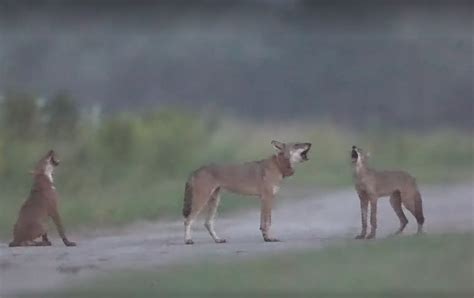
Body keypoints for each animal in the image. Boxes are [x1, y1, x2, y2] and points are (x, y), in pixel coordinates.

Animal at [181, 141, 312, 243]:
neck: (278, 166)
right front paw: (269, 238)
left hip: (214, 201)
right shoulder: (267, 197)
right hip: (201, 200)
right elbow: (267, 222)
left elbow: (263, 222)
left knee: (207, 223)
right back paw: (188, 240)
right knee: (188, 220)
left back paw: (218, 240)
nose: (310, 143)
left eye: (300, 143)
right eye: (297, 145)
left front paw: (266, 237)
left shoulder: (265, 199)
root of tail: (195, 171)